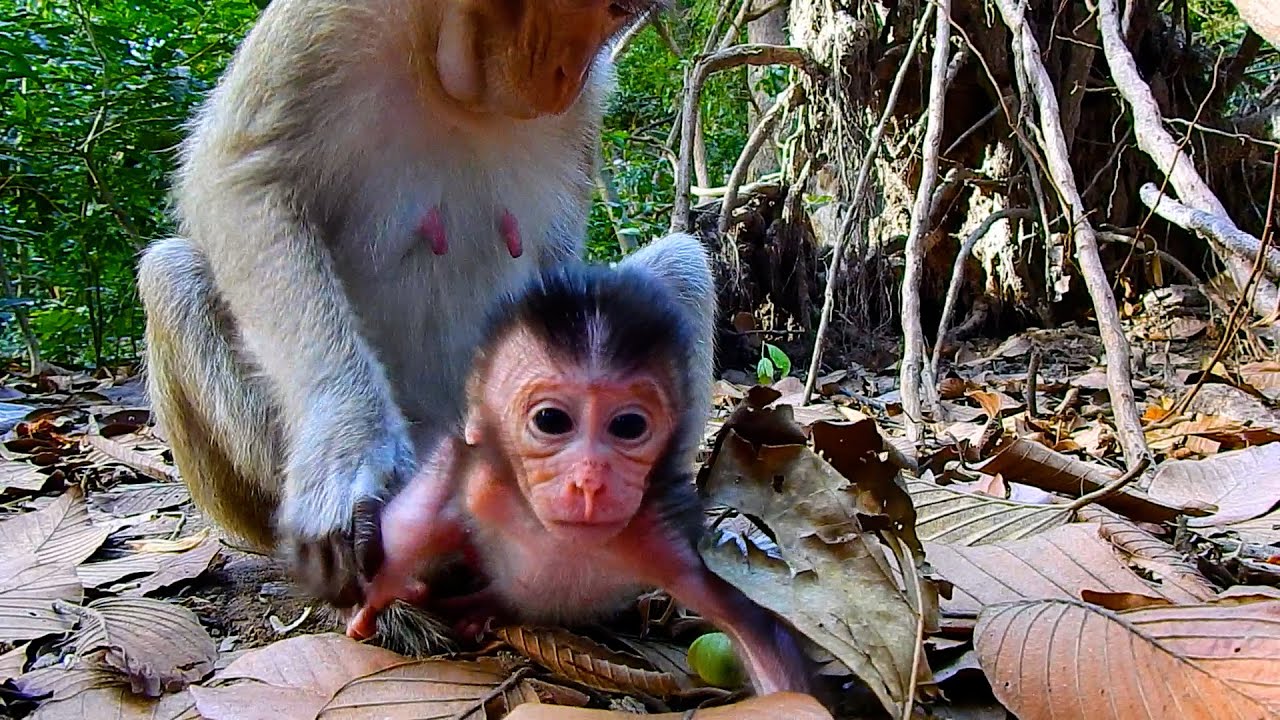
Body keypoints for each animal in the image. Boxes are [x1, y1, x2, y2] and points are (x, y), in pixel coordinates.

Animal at [135, 0, 673, 617]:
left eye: (617, 15)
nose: (569, 76)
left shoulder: (586, 109)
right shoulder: (326, 19)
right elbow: (240, 182)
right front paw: (346, 449)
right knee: (171, 273)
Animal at [340, 236, 812, 697]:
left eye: (628, 426)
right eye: (551, 420)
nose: (589, 483)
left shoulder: (665, 539)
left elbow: (753, 630)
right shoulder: (480, 476)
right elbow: (423, 511)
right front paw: (377, 596)